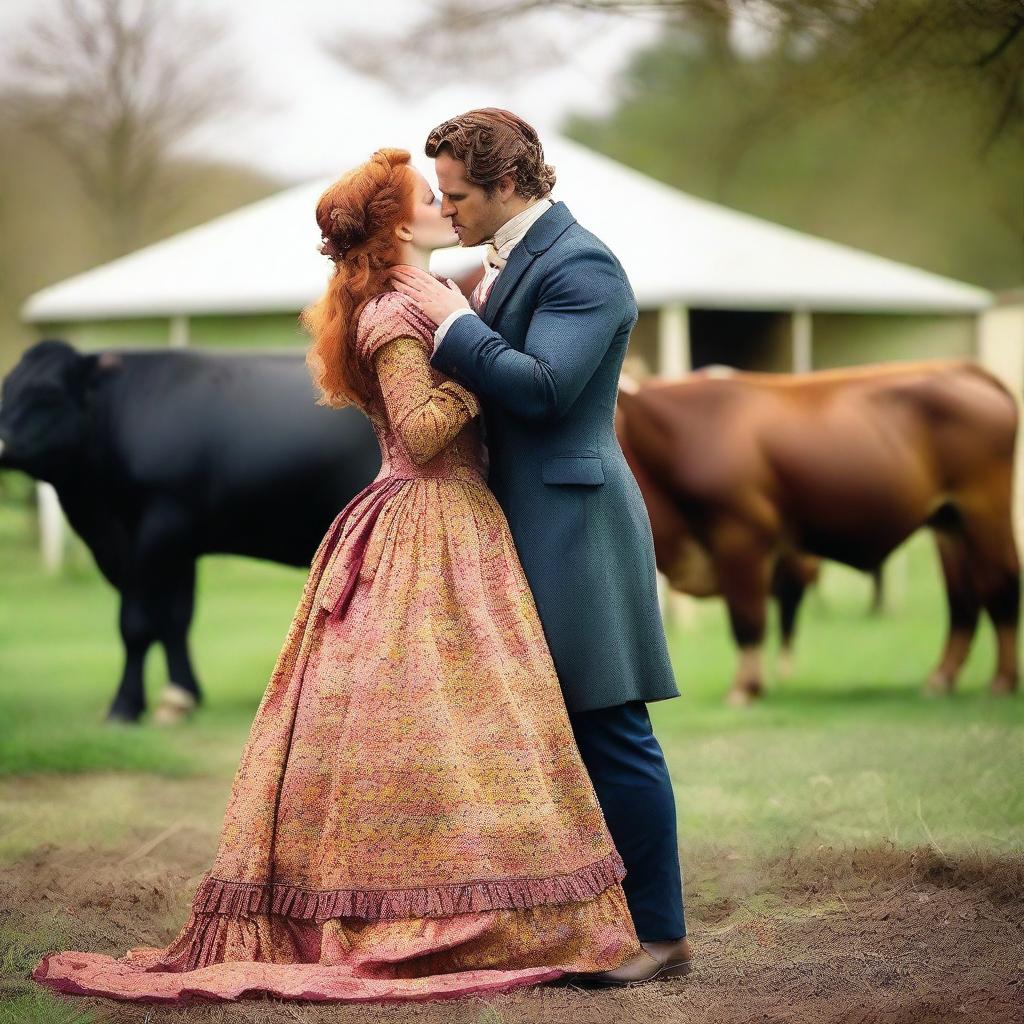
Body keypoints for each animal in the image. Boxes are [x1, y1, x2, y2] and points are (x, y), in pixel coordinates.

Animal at [0, 339, 380, 724]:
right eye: (6, 389)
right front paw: (182, 696)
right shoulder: (177, 544)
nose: (2, 443)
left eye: (47, 393)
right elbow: (175, 620)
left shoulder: (156, 529)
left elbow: (136, 623)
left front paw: (125, 706)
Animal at [610, 360, 1019, 704]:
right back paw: (941, 679)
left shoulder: (741, 536)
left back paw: (1002, 681)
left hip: (984, 509)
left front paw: (744, 689)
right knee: (962, 597)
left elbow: (747, 619)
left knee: (998, 582)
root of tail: (963, 368)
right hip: (949, 521)